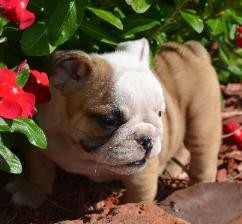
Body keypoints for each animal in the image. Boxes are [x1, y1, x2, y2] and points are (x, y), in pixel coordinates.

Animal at [5, 39, 221, 208]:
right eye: (109, 120)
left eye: (160, 113)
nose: (147, 139)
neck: (80, 152)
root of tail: (188, 48)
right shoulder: (40, 142)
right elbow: (38, 170)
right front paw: (30, 192)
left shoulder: (142, 174)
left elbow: (138, 196)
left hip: (202, 122)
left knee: (202, 159)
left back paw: (201, 189)